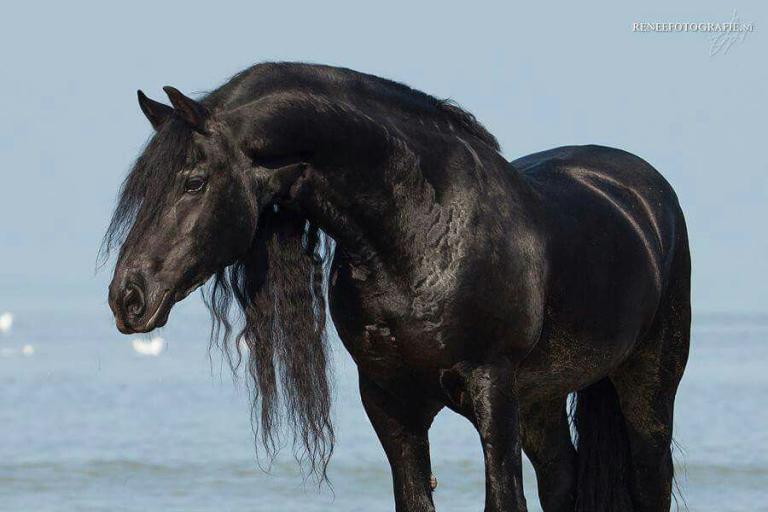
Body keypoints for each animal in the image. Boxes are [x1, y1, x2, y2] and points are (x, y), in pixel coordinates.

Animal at [104, 62, 690, 512]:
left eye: (194, 182)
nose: (127, 297)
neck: (419, 238)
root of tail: (642, 193)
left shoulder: (492, 390)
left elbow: (503, 501)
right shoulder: (390, 403)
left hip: (647, 388)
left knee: (650, 477)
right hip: (542, 401)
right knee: (562, 479)